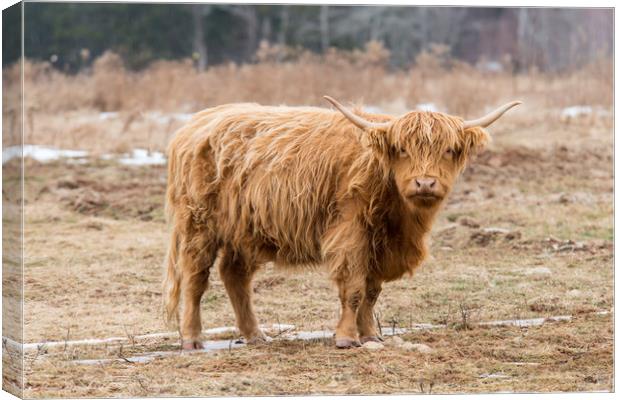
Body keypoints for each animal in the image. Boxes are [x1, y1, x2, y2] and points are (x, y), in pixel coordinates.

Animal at [162, 96, 520, 346]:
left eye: (448, 150)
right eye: (402, 149)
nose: (425, 183)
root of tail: (194, 125)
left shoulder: (380, 245)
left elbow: (372, 292)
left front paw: (371, 335)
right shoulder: (351, 233)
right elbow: (354, 289)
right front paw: (347, 338)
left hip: (244, 230)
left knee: (234, 277)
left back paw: (255, 335)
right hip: (198, 224)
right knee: (195, 279)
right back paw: (192, 339)